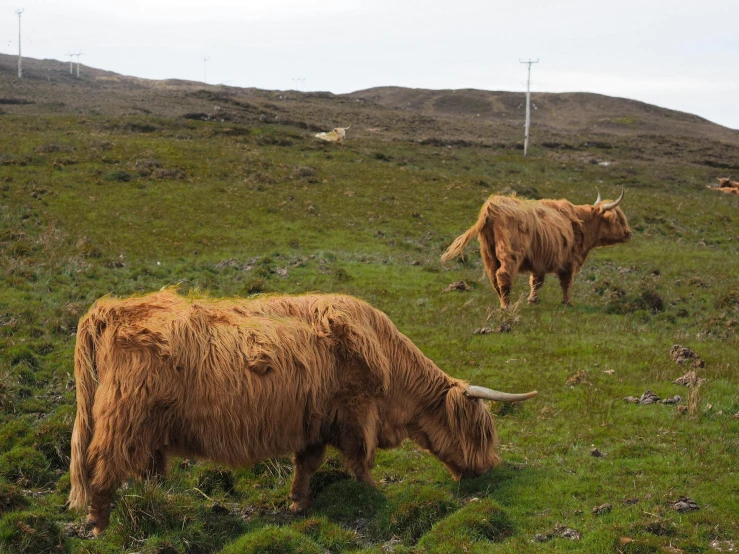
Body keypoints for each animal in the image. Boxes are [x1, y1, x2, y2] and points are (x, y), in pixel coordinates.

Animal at [69, 288, 536, 536]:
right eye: (481, 432)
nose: (489, 468)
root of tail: (110, 309)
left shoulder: (315, 422)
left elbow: (307, 463)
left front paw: (298, 503)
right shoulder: (355, 413)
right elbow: (360, 460)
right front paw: (374, 493)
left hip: (144, 426)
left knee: (140, 467)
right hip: (122, 419)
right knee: (102, 468)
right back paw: (98, 525)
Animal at [442, 188, 632, 308]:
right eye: (618, 219)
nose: (629, 233)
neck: (583, 223)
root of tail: (493, 205)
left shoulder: (540, 260)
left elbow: (536, 281)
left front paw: (532, 300)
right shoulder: (569, 261)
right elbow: (566, 283)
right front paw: (567, 302)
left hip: (488, 252)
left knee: (493, 277)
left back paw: (502, 301)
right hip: (510, 252)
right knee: (503, 274)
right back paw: (506, 305)